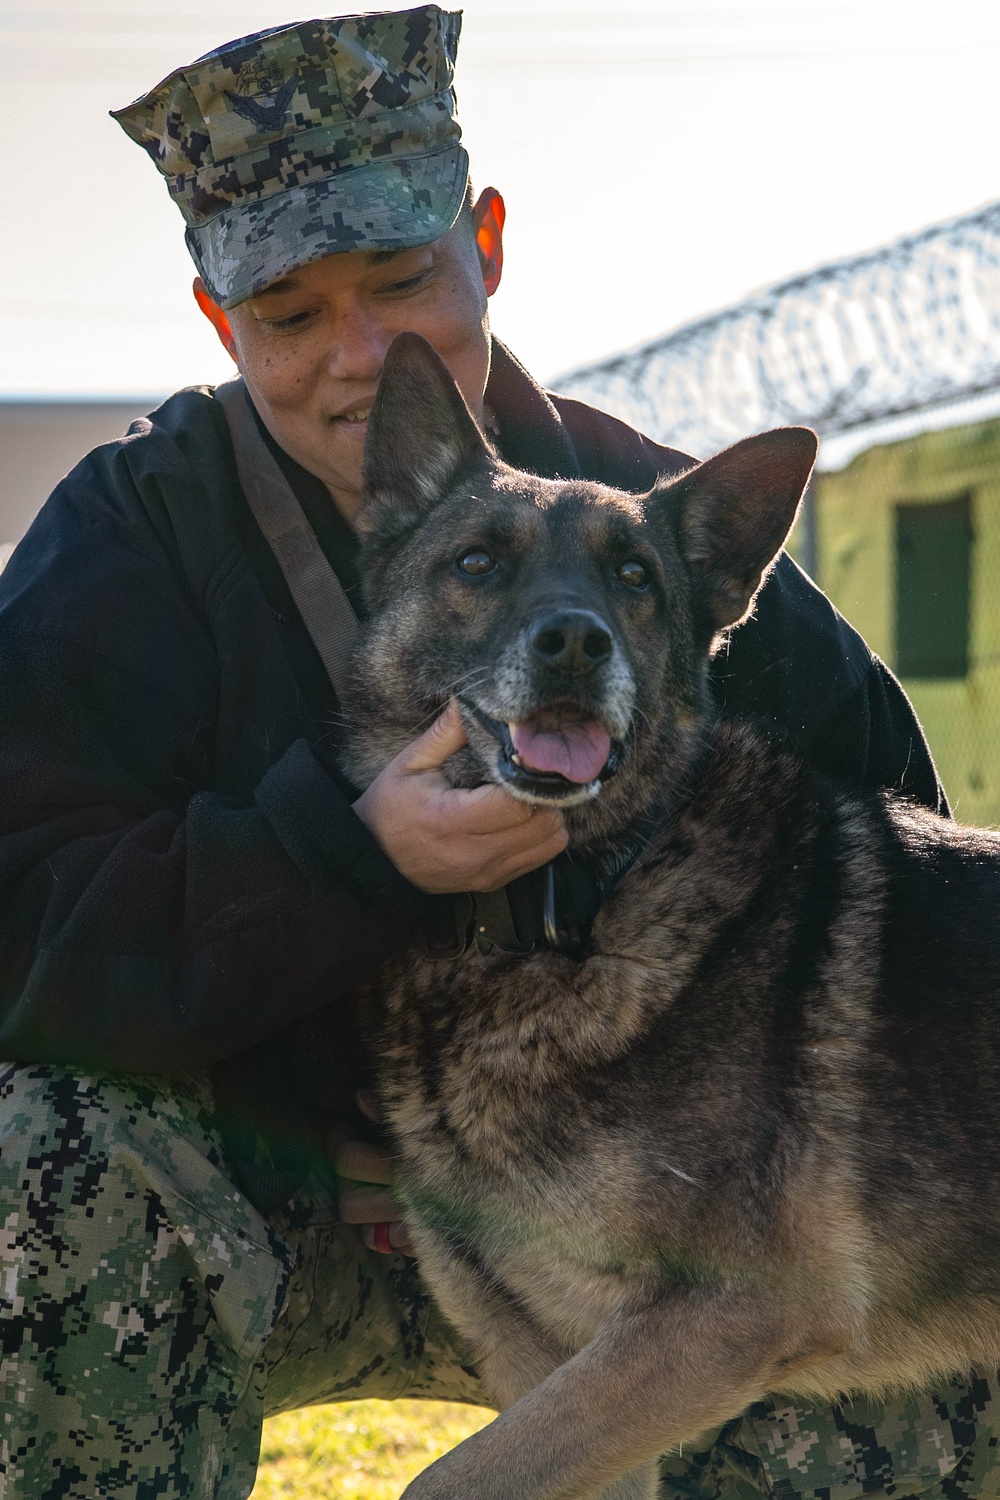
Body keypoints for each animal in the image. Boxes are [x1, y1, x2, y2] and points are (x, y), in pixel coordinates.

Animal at [340, 337, 1000, 1500]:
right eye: (477, 563)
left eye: (635, 578)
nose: (574, 642)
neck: (574, 907)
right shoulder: (565, 1370)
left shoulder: (714, 1324)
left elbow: (434, 1482)